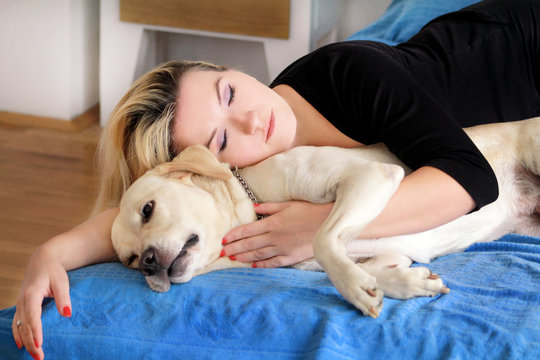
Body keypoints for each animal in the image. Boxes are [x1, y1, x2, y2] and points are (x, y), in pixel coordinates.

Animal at [110, 116, 540, 316]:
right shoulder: (389, 254)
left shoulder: (371, 176)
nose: (148, 263)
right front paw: (402, 284)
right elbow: (376, 267)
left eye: (148, 210)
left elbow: (322, 238)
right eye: (128, 261)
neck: (253, 202)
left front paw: (356, 289)